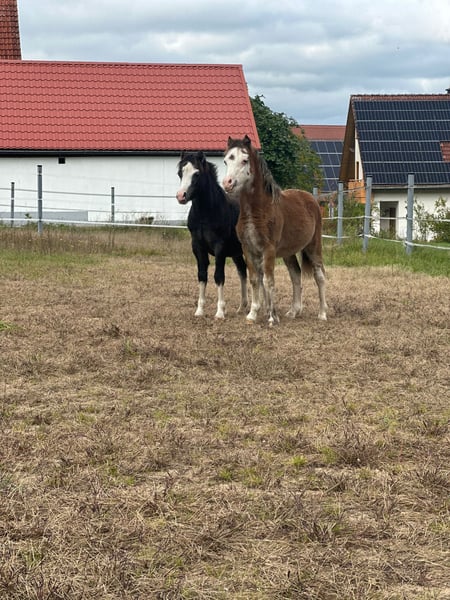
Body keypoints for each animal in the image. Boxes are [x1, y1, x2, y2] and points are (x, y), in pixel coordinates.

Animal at [176, 151, 248, 319]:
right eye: (180, 173)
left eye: (196, 174)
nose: (181, 196)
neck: (206, 214)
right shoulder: (197, 246)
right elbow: (202, 275)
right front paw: (199, 310)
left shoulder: (219, 248)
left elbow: (218, 276)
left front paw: (220, 312)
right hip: (237, 253)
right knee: (243, 271)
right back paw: (242, 307)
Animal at [222, 135, 327, 326]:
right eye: (226, 160)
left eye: (244, 160)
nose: (227, 183)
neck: (258, 210)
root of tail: (311, 199)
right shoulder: (248, 249)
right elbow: (255, 279)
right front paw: (253, 314)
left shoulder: (268, 249)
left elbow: (268, 280)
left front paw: (271, 317)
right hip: (288, 253)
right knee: (296, 276)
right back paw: (293, 311)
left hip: (313, 247)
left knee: (320, 276)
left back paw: (323, 313)